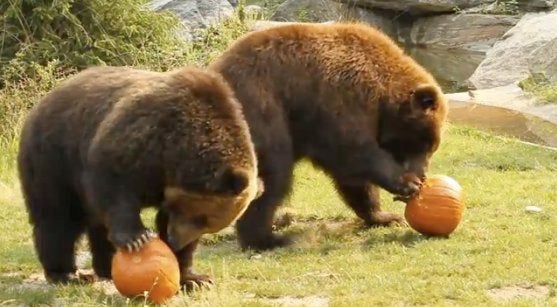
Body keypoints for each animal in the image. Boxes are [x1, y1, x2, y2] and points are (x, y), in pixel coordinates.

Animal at [17, 65, 260, 288]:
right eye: (202, 217)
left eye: (207, 225)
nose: (175, 242)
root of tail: (42, 101)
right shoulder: (142, 138)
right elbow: (114, 185)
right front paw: (137, 238)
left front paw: (193, 277)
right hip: (53, 157)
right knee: (58, 216)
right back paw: (67, 274)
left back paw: (105, 267)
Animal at [208, 21, 448, 253]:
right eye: (424, 143)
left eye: (432, 146)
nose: (422, 176)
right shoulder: (340, 100)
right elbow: (355, 152)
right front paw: (406, 183)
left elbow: (354, 180)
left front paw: (386, 216)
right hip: (260, 110)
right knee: (273, 174)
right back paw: (268, 239)